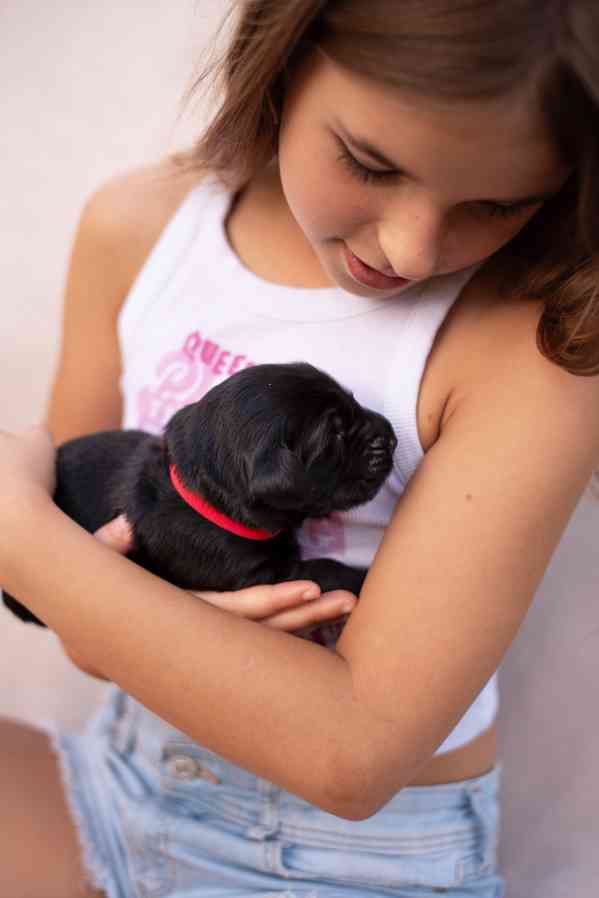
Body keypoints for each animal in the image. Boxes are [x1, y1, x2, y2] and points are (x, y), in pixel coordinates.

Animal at [3, 360, 398, 628]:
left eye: (353, 402)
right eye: (336, 435)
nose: (392, 436)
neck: (201, 498)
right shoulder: (257, 574)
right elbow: (324, 568)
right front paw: (361, 577)